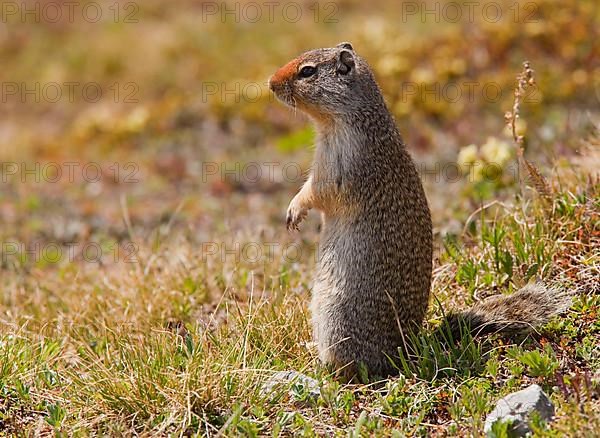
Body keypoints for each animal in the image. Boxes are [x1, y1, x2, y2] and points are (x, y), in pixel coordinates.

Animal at [268, 42, 572, 380]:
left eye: (307, 71)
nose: (270, 83)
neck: (348, 119)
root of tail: (406, 349)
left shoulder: (338, 165)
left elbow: (318, 192)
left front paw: (294, 210)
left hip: (336, 319)